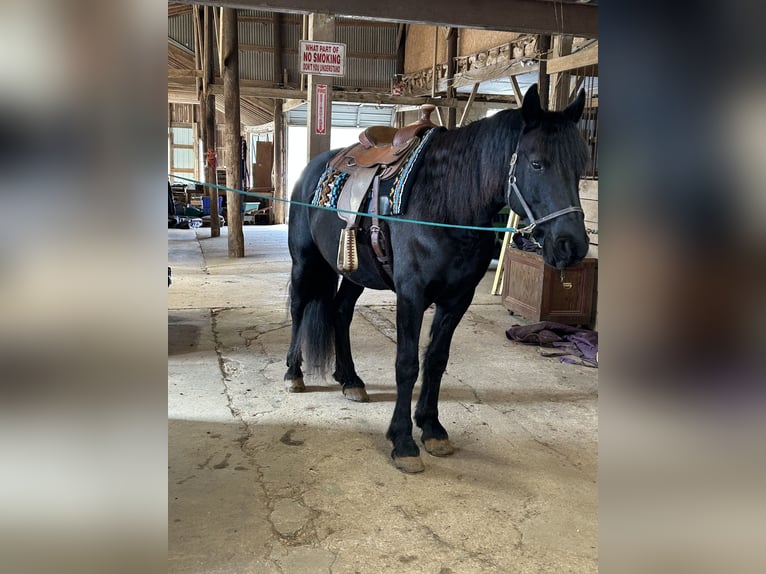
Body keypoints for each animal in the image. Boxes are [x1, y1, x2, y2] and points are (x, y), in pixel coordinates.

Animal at [284, 84, 592, 472]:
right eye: (536, 163)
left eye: (580, 167)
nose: (572, 245)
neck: (445, 202)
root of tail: (311, 170)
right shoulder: (411, 295)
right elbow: (407, 364)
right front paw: (403, 441)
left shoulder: (457, 298)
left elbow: (436, 360)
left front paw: (431, 428)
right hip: (304, 261)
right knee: (298, 308)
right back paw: (293, 374)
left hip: (355, 273)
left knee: (340, 312)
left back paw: (350, 379)